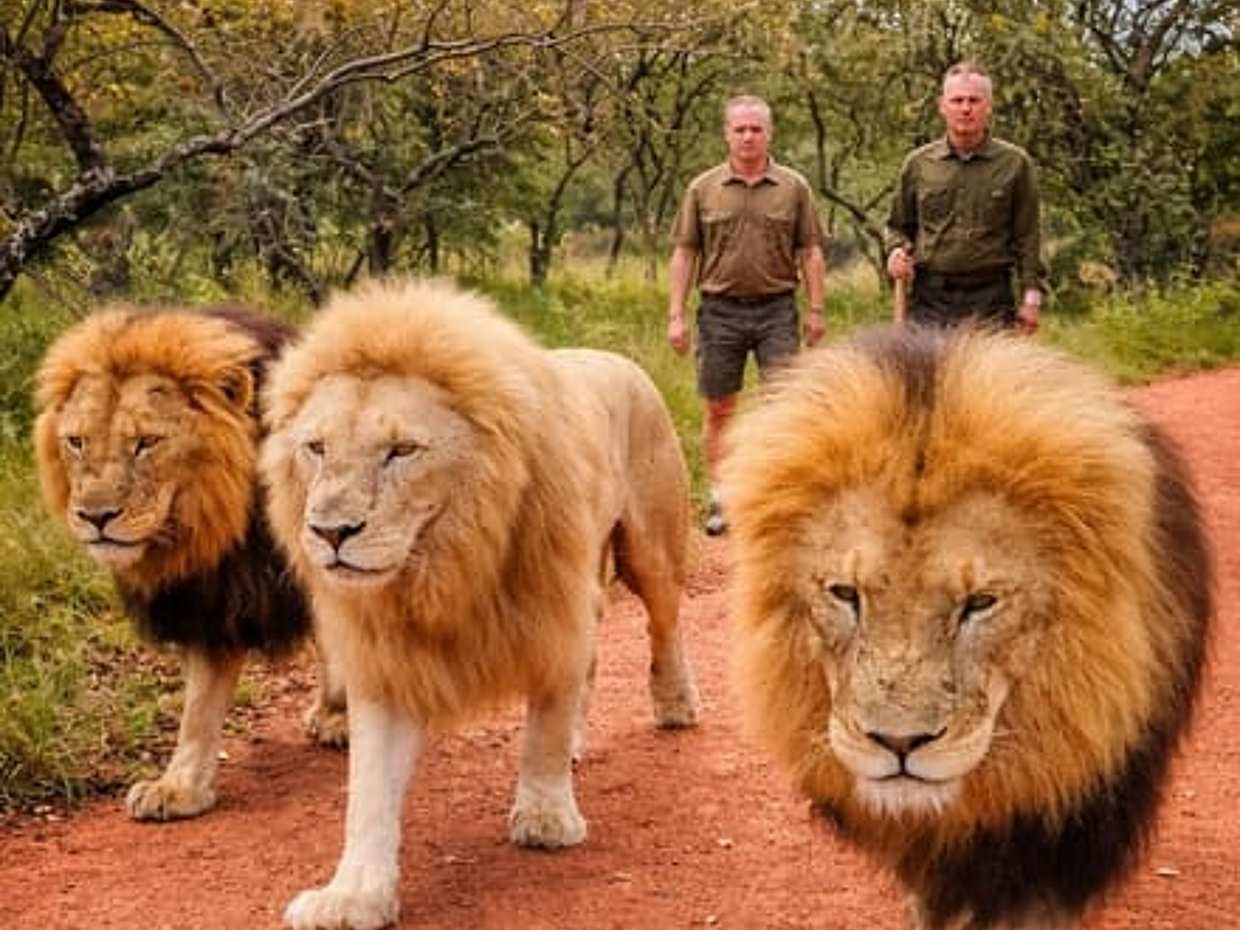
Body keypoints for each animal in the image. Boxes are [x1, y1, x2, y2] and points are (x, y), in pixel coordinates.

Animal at [34, 304, 347, 822]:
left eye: (146, 442)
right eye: (77, 442)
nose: (95, 517)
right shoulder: (210, 597)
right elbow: (198, 708)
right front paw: (179, 789)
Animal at [260, 277, 701, 930]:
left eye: (401, 450)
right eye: (316, 447)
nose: (329, 531)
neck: (444, 563)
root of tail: (617, 359)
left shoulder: (552, 610)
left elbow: (544, 726)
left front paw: (545, 819)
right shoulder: (388, 660)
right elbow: (368, 792)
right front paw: (354, 895)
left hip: (651, 548)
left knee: (664, 625)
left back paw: (675, 703)